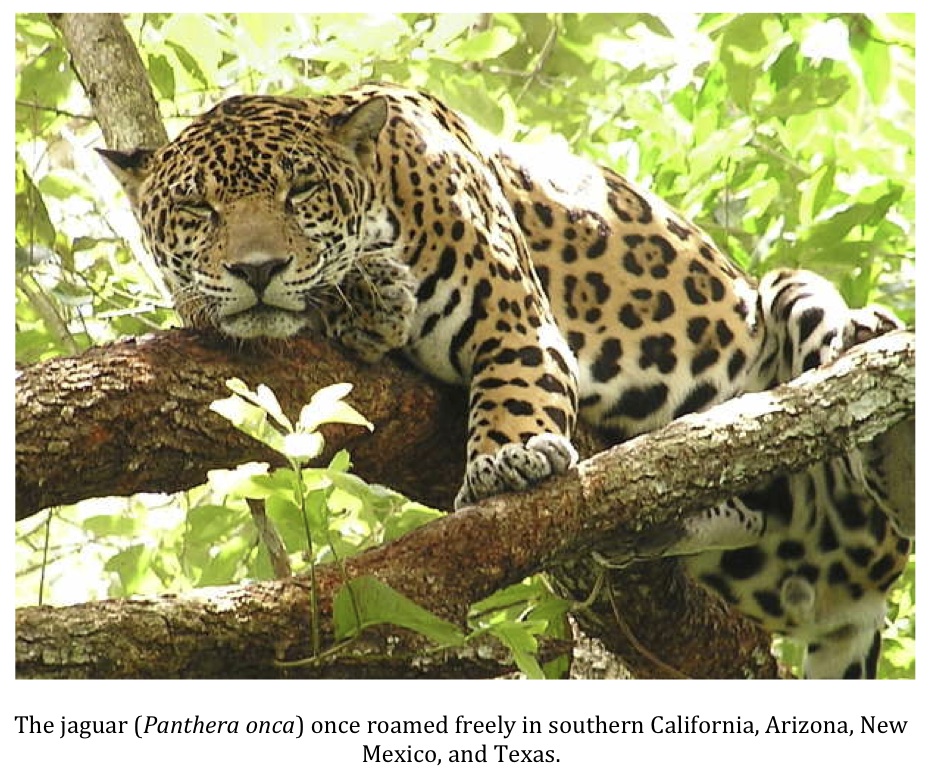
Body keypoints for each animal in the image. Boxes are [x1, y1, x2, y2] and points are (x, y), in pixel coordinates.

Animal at [99, 83, 913, 678]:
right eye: (197, 208)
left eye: (302, 192)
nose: (257, 269)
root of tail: (857, 593)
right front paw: (371, 295)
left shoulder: (515, 313)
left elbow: (514, 390)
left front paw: (509, 462)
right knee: (751, 517)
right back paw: (653, 525)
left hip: (786, 296)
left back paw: (871, 366)